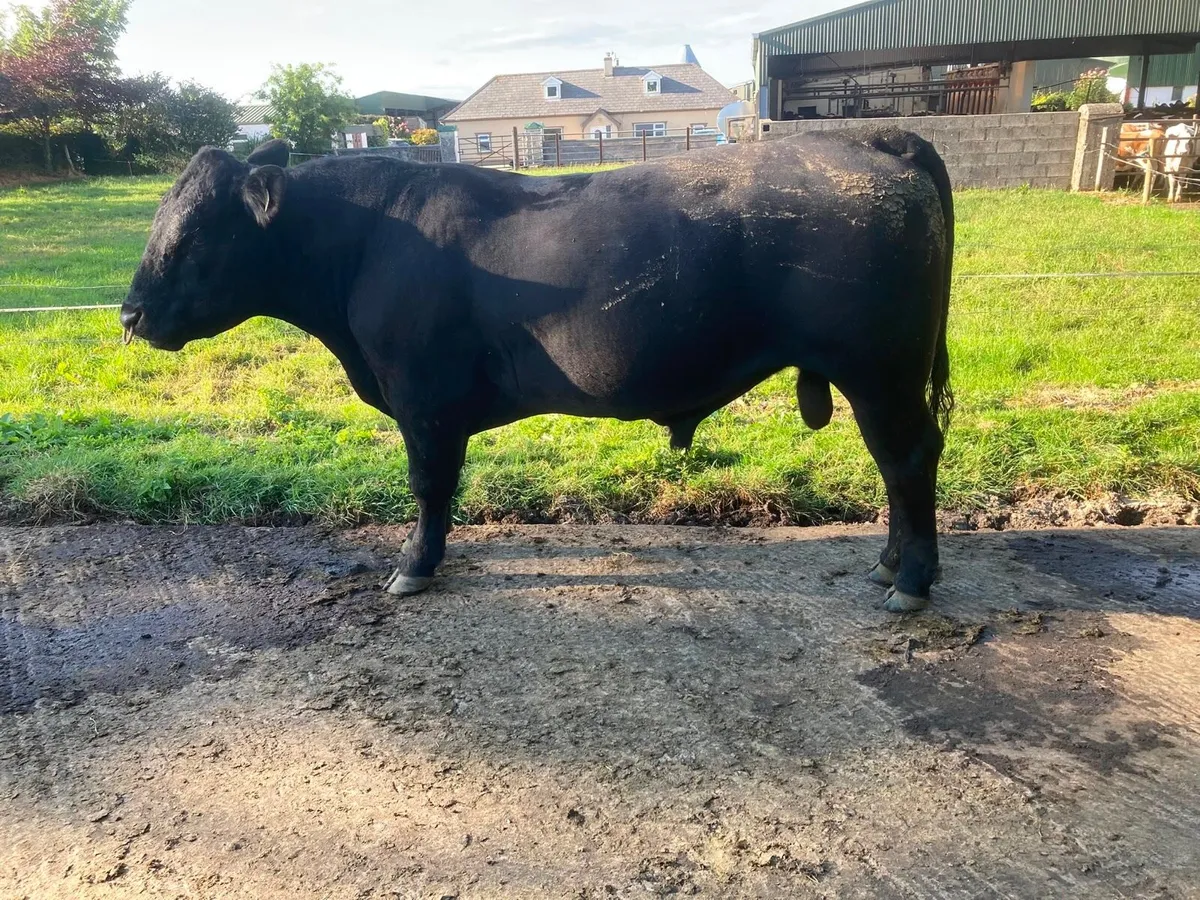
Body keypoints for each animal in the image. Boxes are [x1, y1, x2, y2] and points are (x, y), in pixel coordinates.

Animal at [120, 129, 954, 613]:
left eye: (192, 233)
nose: (129, 315)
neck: (369, 243)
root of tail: (872, 141)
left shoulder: (424, 397)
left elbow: (429, 485)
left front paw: (414, 565)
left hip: (880, 369)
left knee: (908, 459)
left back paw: (911, 580)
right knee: (894, 466)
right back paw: (888, 566)